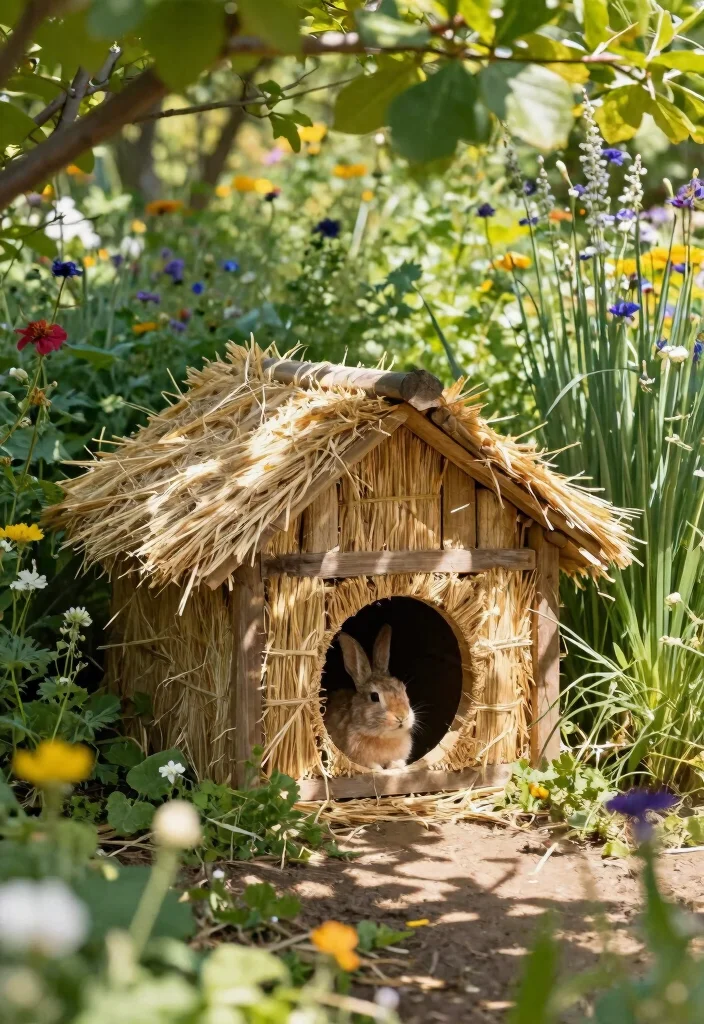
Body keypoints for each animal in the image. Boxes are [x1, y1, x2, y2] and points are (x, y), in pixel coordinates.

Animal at [324, 624, 415, 770]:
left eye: (403, 689)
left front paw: (396, 765)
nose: (402, 716)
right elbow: (373, 765)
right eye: (374, 696)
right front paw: (379, 768)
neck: (384, 738)